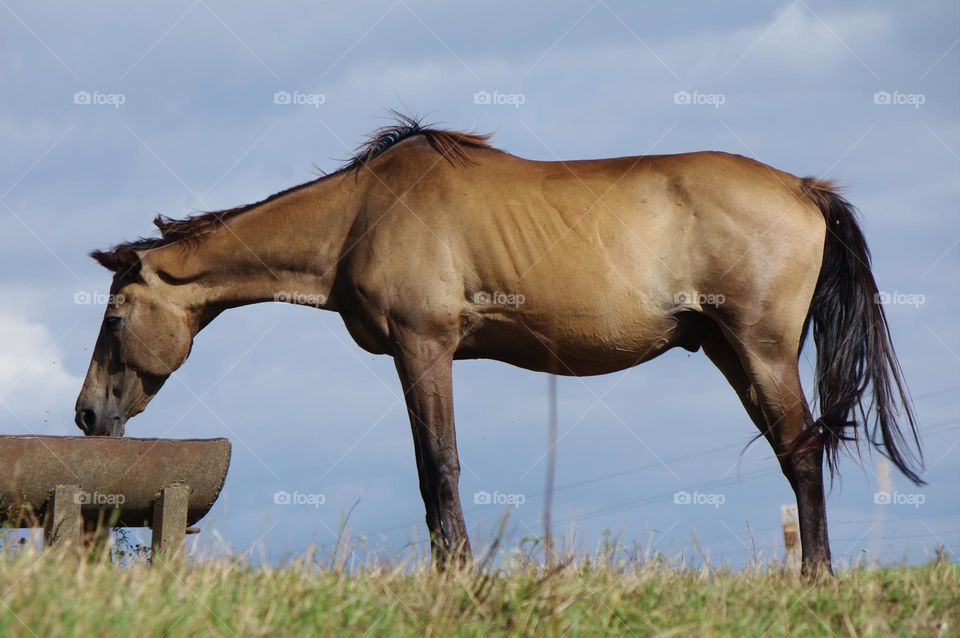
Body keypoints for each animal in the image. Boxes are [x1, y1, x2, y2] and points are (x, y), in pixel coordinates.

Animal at [75, 115, 924, 576]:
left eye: (115, 314)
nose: (86, 414)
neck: (361, 214)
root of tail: (804, 188)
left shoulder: (423, 347)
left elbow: (439, 469)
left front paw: (454, 575)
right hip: (729, 352)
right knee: (795, 453)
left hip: (761, 349)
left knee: (803, 455)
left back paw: (815, 580)